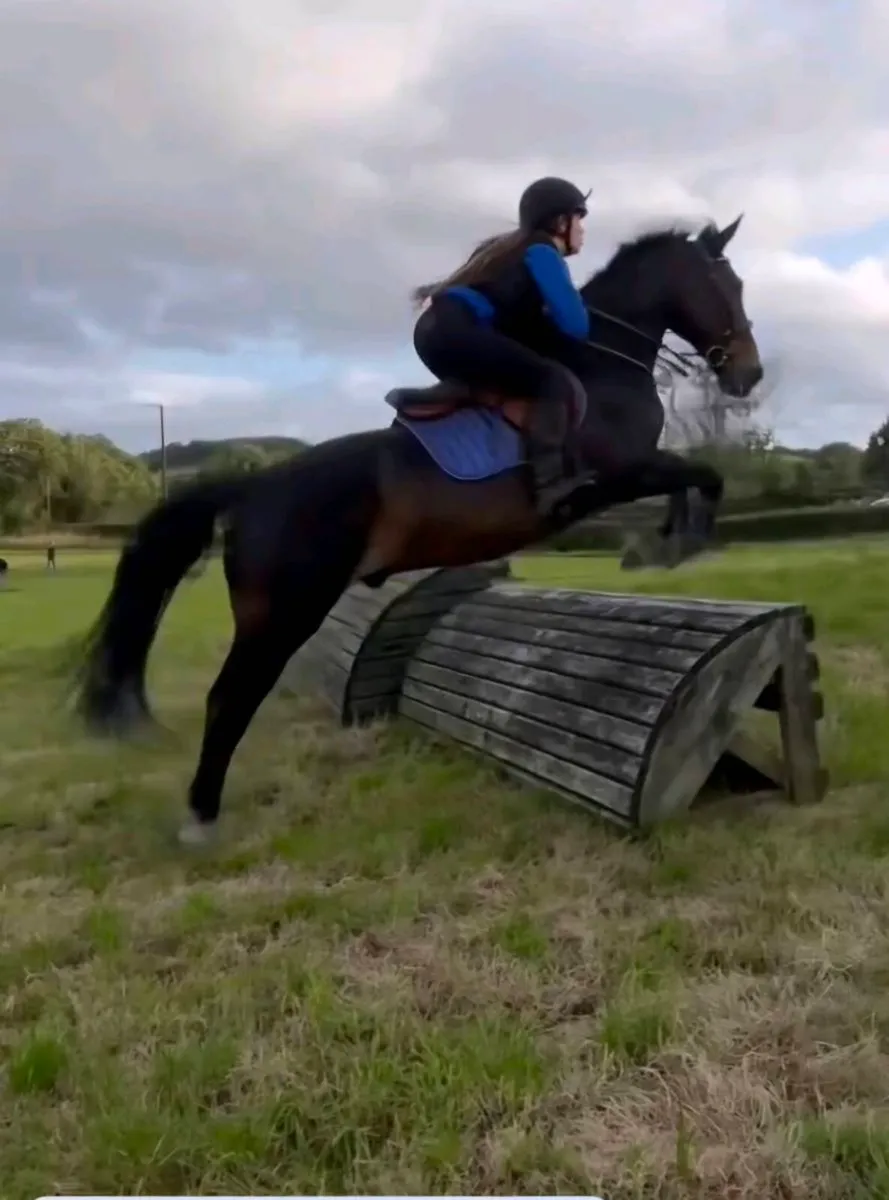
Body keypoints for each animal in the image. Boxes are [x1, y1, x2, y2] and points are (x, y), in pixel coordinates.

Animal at [74, 216, 762, 844]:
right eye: (726, 285)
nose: (748, 376)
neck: (601, 363)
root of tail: (254, 486)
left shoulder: (629, 476)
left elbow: (692, 480)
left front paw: (671, 541)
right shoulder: (617, 475)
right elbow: (701, 477)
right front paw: (680, 542)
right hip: (287, 611)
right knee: (231, 698)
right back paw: (202, 816)